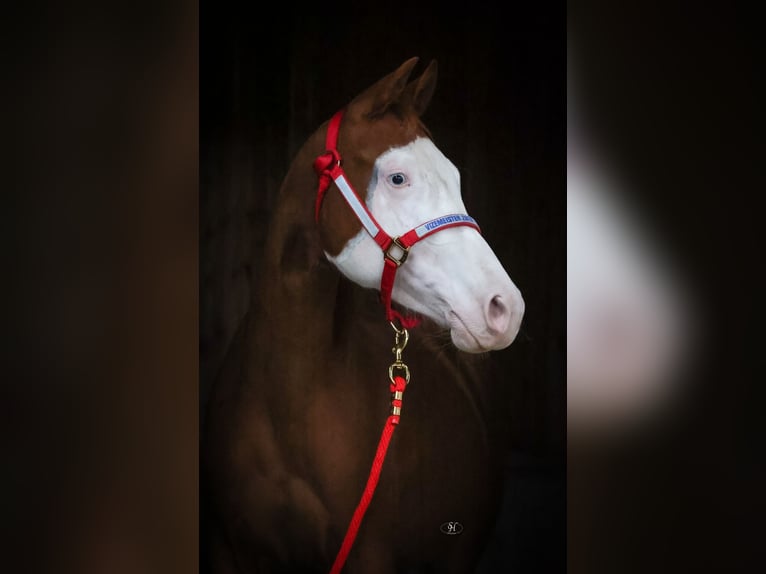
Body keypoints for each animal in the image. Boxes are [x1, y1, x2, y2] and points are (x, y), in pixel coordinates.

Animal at [203, 58, 525, 574]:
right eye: (397, 178)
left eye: (455, 178)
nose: (505, 308)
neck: (290, 402)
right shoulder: (231, 549)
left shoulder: (367, 553)